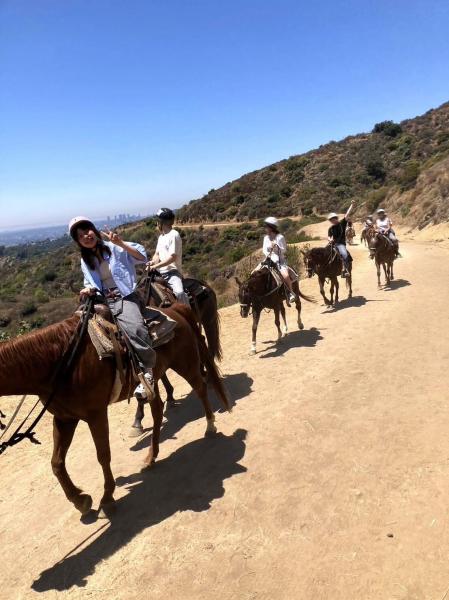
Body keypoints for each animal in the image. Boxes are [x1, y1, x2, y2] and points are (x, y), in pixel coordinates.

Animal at [0, 304, 229, 516]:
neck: (60, 362)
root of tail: (175, 309)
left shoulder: (96, 414)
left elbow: (103, 455)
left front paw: (107, 498)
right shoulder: (64, 418)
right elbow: (56, 463)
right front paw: (80, 501)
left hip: (185, 363)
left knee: (200, 388)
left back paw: (210, 427)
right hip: (154, 380)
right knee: (157, 411)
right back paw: (150, 457)